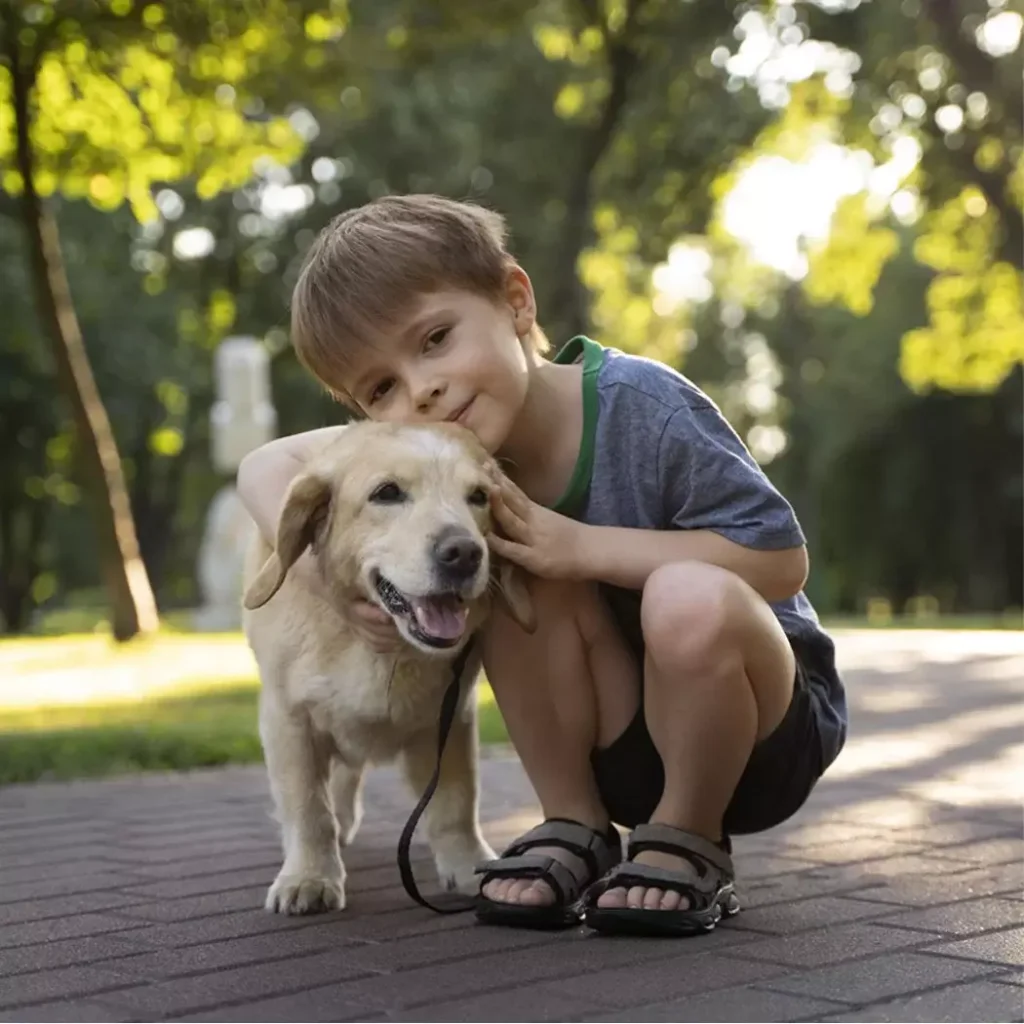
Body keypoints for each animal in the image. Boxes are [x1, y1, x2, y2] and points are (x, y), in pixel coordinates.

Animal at [240, 419, 536, 917]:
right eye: (387, 493)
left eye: (478, 496)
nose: (464, 553)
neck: (382, 648)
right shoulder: (288, 720)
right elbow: (308, 808)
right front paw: (309, 877)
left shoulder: (451, 719)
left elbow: (456, 802)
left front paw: (466, 865)